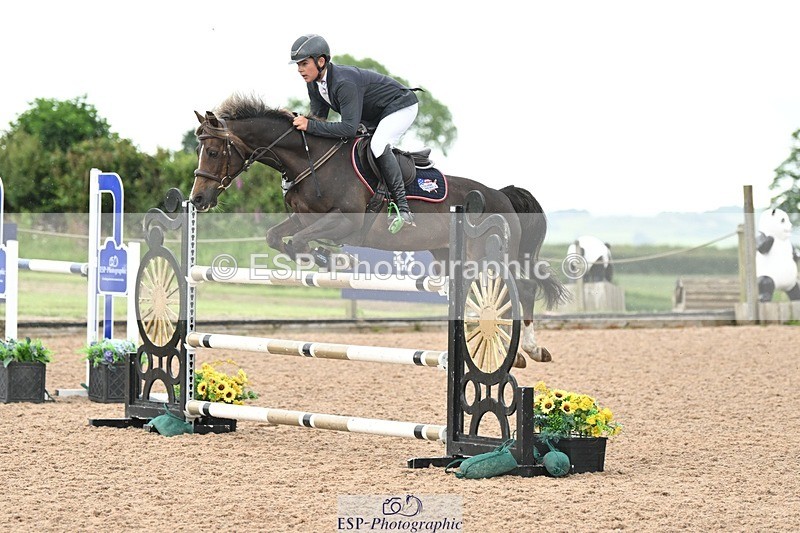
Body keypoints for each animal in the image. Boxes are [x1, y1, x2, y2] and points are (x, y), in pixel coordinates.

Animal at [190, 94, 568, 363]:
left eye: (213, 151)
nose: (197, 199)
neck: (309, 160)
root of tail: (500, 194)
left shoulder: (345, 222)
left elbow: (298, 241)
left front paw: (337, 260)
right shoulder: (305, 218)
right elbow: (277, 237)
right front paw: (328, 258)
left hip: (490, 256)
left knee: (523, 289)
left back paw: (528, 351)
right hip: (448, 255)